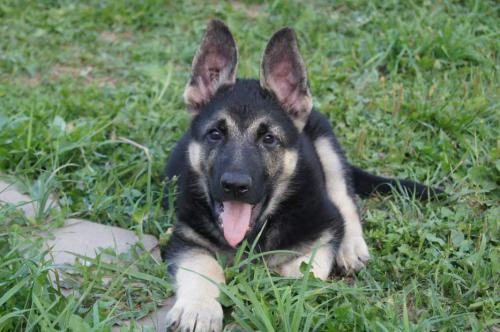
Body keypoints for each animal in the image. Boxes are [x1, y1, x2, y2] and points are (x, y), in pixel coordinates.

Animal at [161, 20, 442, 332]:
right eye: (215, 134)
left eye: (269, 139)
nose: (235, 185)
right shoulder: (186, 238)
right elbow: (201, 266)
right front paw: (198, 309)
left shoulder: (324, 227)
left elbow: (305, 270)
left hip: (326, 142)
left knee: (345, 197)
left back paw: (351, 247)